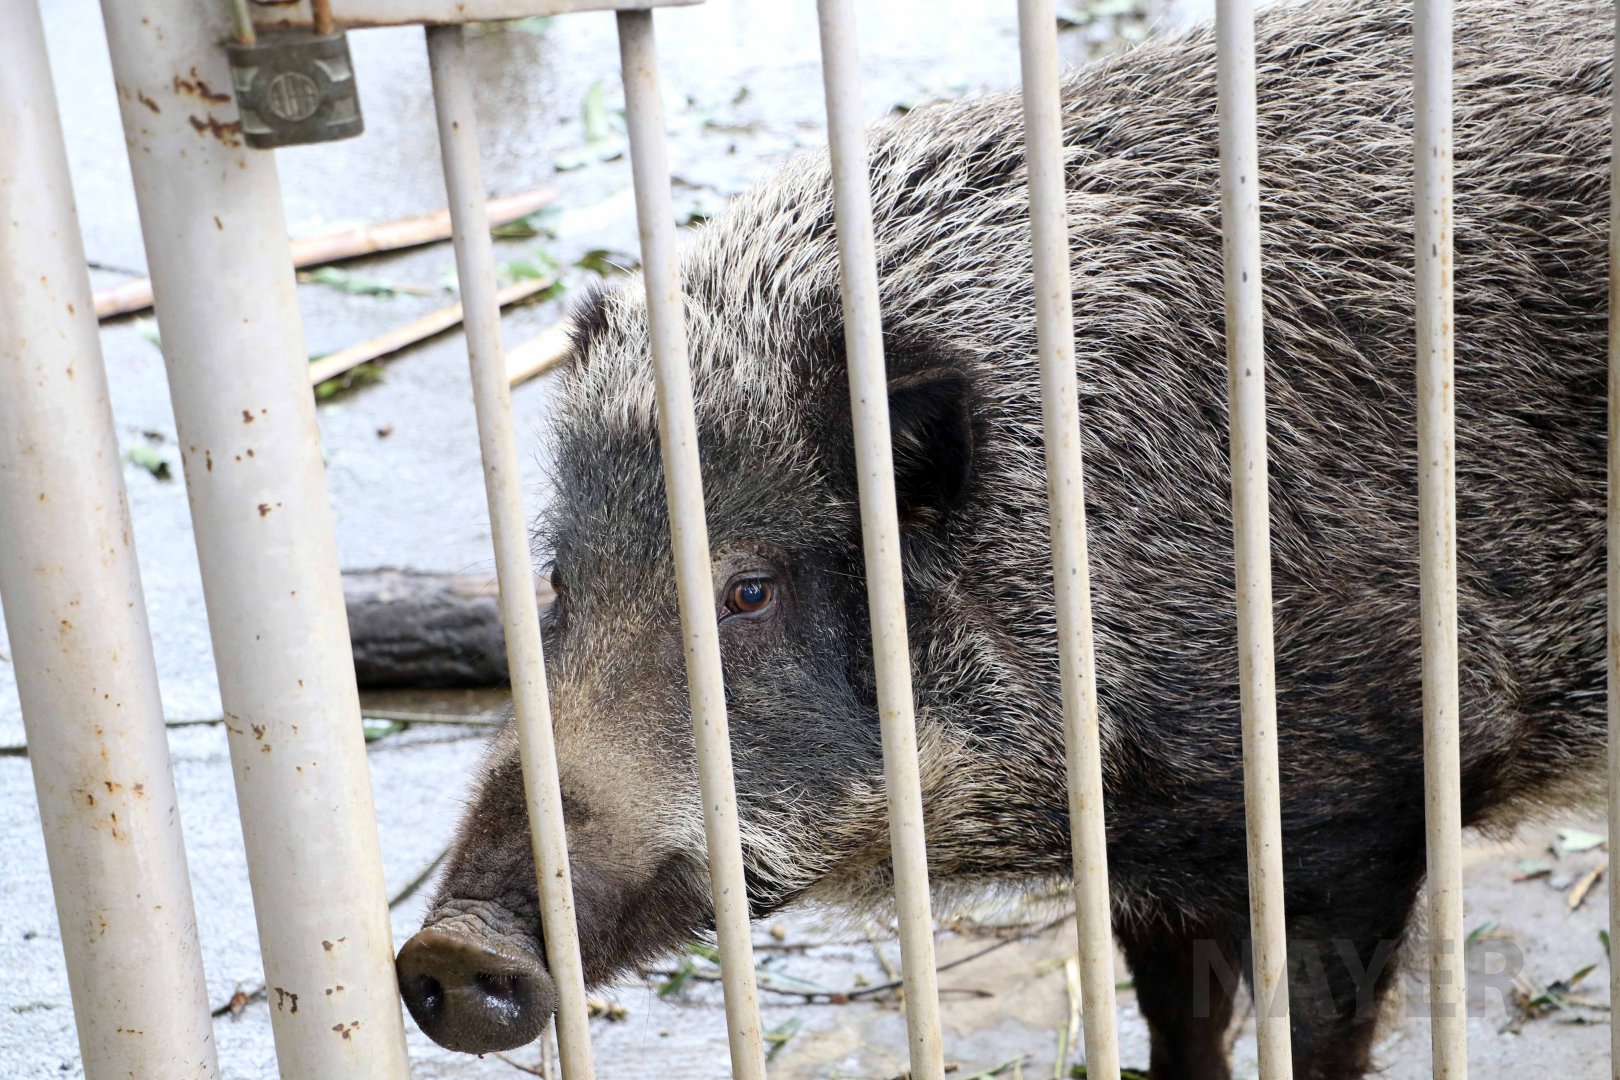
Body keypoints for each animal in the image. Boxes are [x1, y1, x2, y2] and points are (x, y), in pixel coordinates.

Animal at [395, 1, 1613, 1076]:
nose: (445, 945)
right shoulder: (1148, 857)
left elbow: (1318, 1025)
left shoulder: (1360, 792)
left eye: (747, 590)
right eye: (560, 579)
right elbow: (1175, 1016)